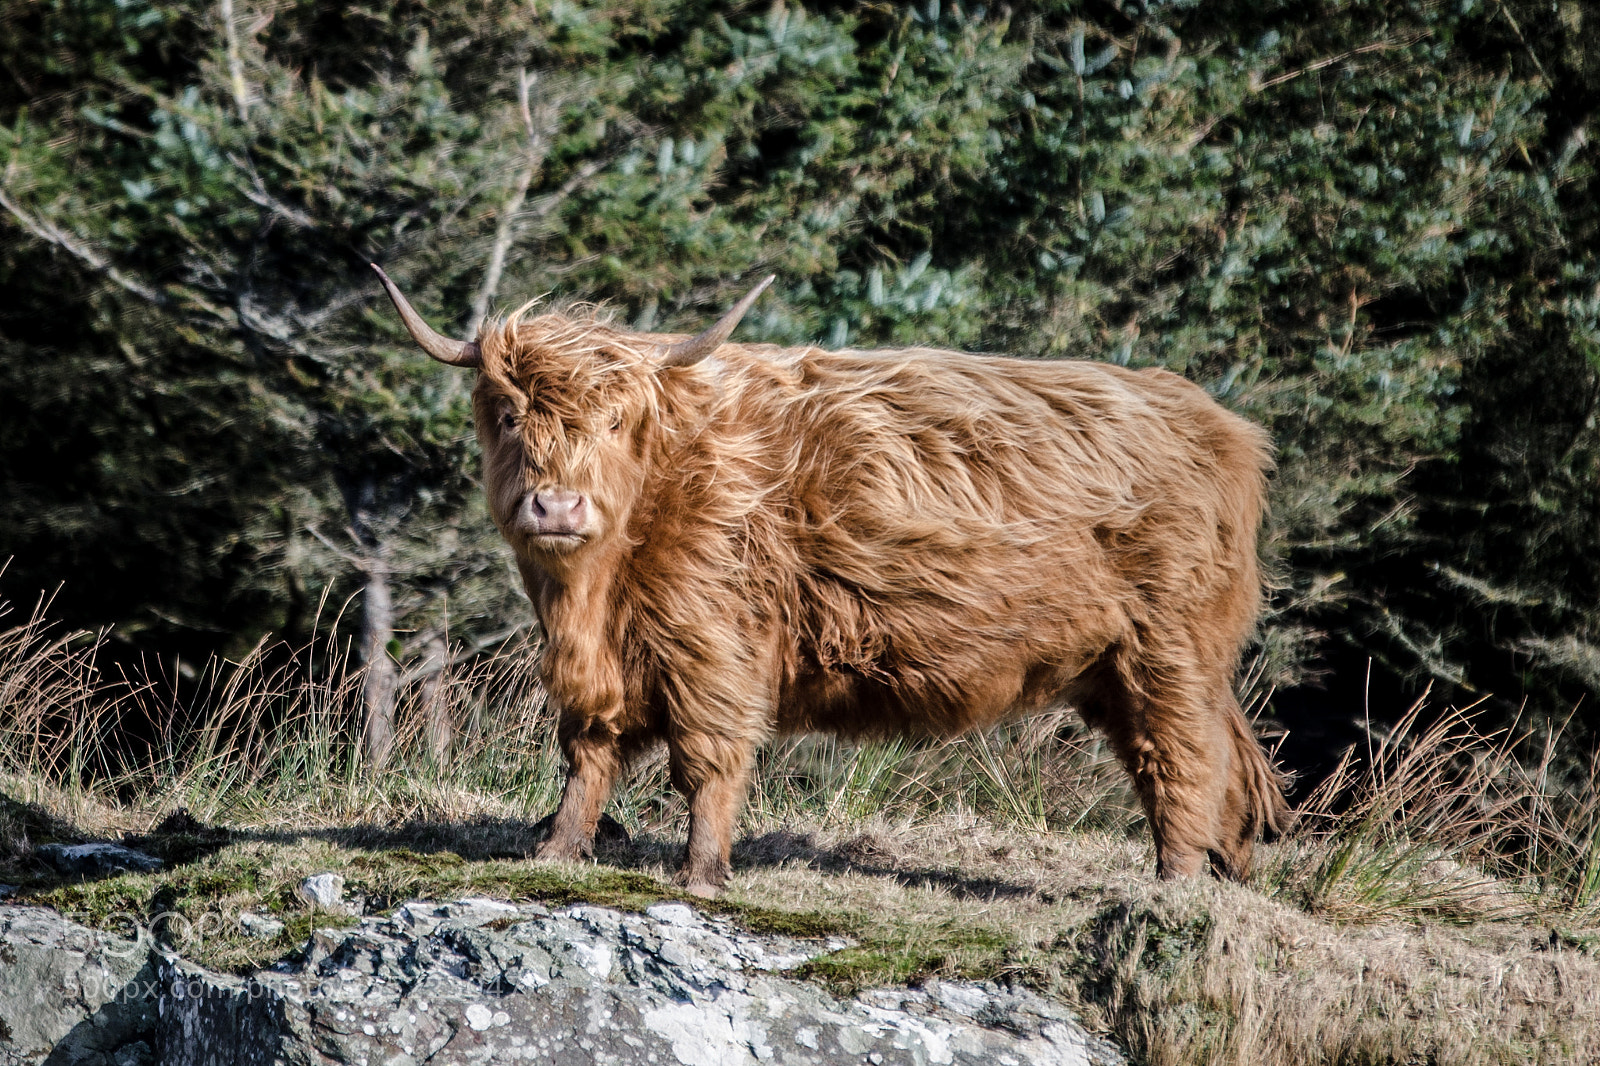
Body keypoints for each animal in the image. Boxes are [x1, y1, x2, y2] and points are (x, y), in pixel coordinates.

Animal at [373, 265, 1289, 898]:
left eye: (613, 420)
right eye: (508, 413)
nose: (556, 506)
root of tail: (1223, 427)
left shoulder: (713, 647)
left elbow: (708, 760)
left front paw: (701, 873)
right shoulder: (602, 665)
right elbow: (587, 754)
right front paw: (559, 852)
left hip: (1164, 651)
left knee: (1181, 758)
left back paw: (1174, 884)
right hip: (1125, 664)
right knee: (1221, 759)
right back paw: (1229, 870)